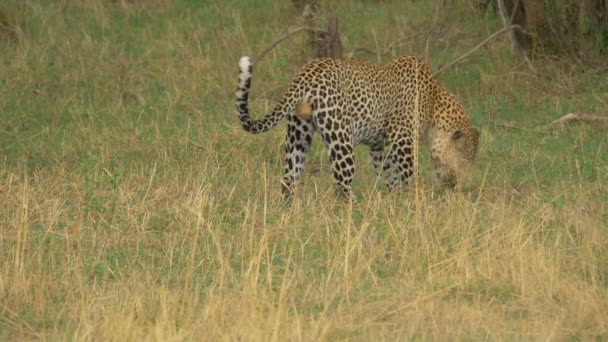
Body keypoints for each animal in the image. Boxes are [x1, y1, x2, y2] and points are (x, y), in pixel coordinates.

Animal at [235, 55, 478, 199]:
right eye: (465, 161)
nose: (456, 185)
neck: (435, 101)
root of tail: (307, 72)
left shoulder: (379, 146)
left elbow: (389, 174)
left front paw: (394, 200)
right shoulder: (402, 140)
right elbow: (409, 174)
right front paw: (414, 200)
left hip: (298, 134)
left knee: (288, 178)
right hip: (341, 138)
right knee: (341, 185)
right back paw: (354, 210)